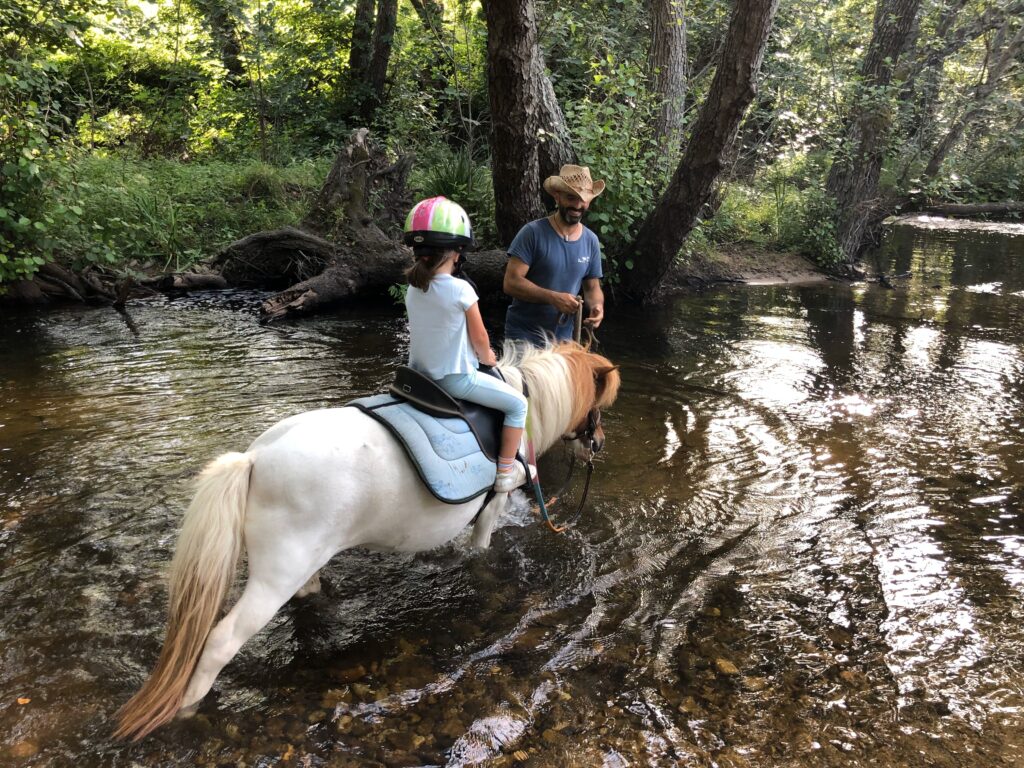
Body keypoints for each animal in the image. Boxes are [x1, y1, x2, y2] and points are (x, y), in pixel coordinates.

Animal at [116, 342, 618, 741]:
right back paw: (187, 709)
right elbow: (480, 552)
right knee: (220, 641)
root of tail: (254, 458)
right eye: (599, 405)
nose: (597, 443)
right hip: (274, 578)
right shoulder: (490, 513)